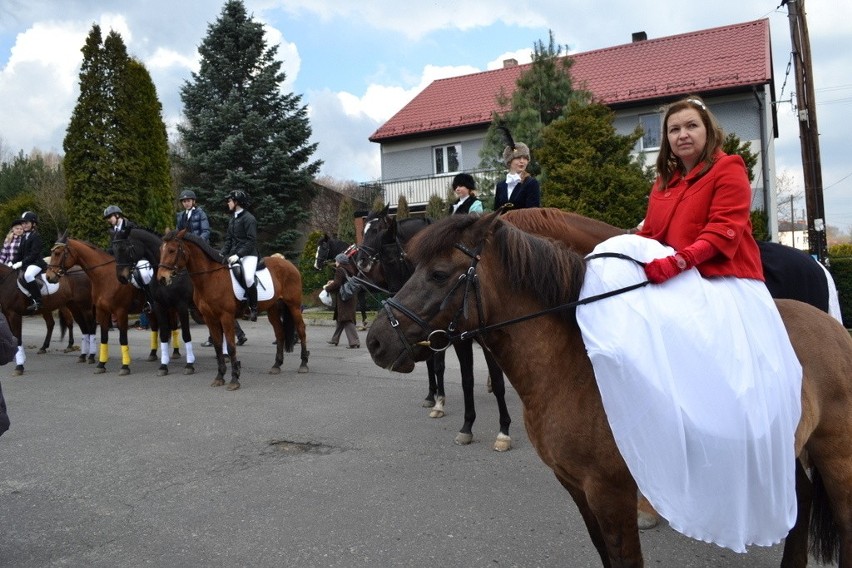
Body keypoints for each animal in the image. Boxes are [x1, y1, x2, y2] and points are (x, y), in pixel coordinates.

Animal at [46, 235, 146, 378]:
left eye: (58, 253)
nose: (49, 277)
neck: (106, 277)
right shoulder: (101, 311)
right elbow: (103, 337)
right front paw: (101, 364)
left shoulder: (120, 312)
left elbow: (122, 338)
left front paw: (125, 366)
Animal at [109, 226, 196, 378]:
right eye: (113, 250)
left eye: (125, 248)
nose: (121, 277)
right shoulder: (159, 306)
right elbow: (163, 334)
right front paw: (163, 366)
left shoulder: (182, 306)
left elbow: (186, 334)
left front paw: (189, 365)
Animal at [156, 227, 310, 390]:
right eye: (161, 249)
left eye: (172, 250)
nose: (161, 278)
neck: (210, 278)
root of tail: (289, 264)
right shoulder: (210, 318)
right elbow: (218, 347)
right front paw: (219, 377)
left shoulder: (226, 317)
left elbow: (230, 347)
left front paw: (234, 379)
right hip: (273, 309)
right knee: (279, 332)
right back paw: (276, 365)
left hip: (293, 306)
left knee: (301, 330)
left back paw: (303, 364)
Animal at [354, 210, 512, 452]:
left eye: (391, 259)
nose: (361, 262)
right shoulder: (451, 338)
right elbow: (452, 373)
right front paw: (440, 403)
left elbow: (497, 381)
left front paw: (503, 431)